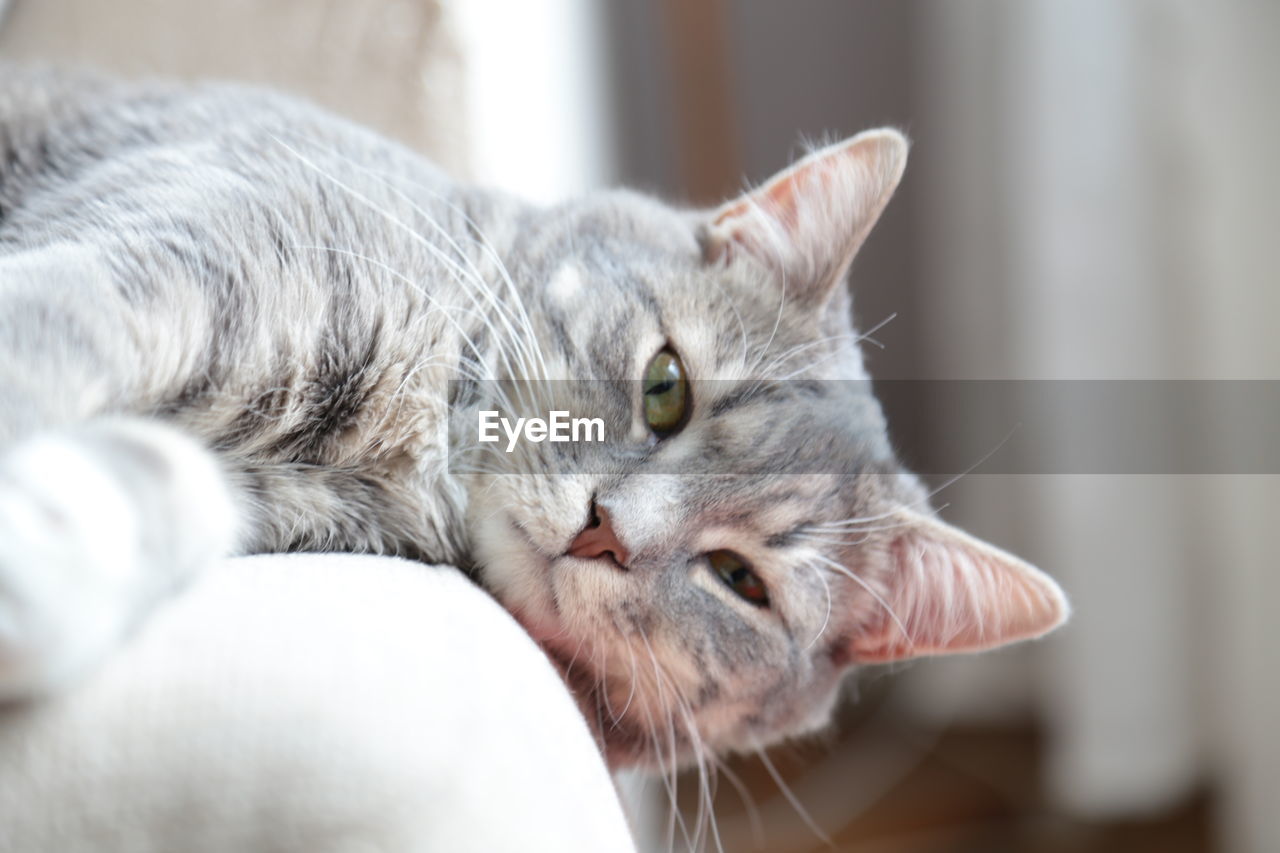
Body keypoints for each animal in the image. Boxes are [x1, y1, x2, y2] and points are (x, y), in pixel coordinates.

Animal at [0, 69, 1064, 768]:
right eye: (666, 386)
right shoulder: (172, 262)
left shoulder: (244, 490)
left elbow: (157, 493)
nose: (606, 530)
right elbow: (51, 334)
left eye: (741, 582)